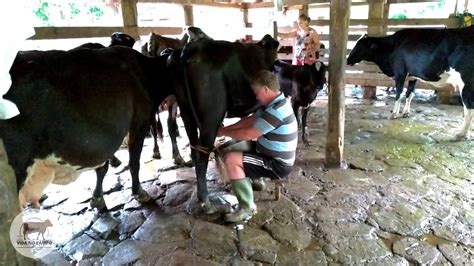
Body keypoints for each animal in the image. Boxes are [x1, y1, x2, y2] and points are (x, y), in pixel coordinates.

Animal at [0, 46, 174, 211]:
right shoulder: (139, 121)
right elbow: (134, 161)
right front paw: (139, 192)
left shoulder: (104, 138)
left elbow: (102, 168)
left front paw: (97, 199)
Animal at [168, 33, 282, 212]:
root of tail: (196, 46)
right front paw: (258, 181)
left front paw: (256, 181)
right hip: (211, 115)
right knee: (202, 155)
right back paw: (205, 201)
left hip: (186, 111)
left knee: (194, 149)